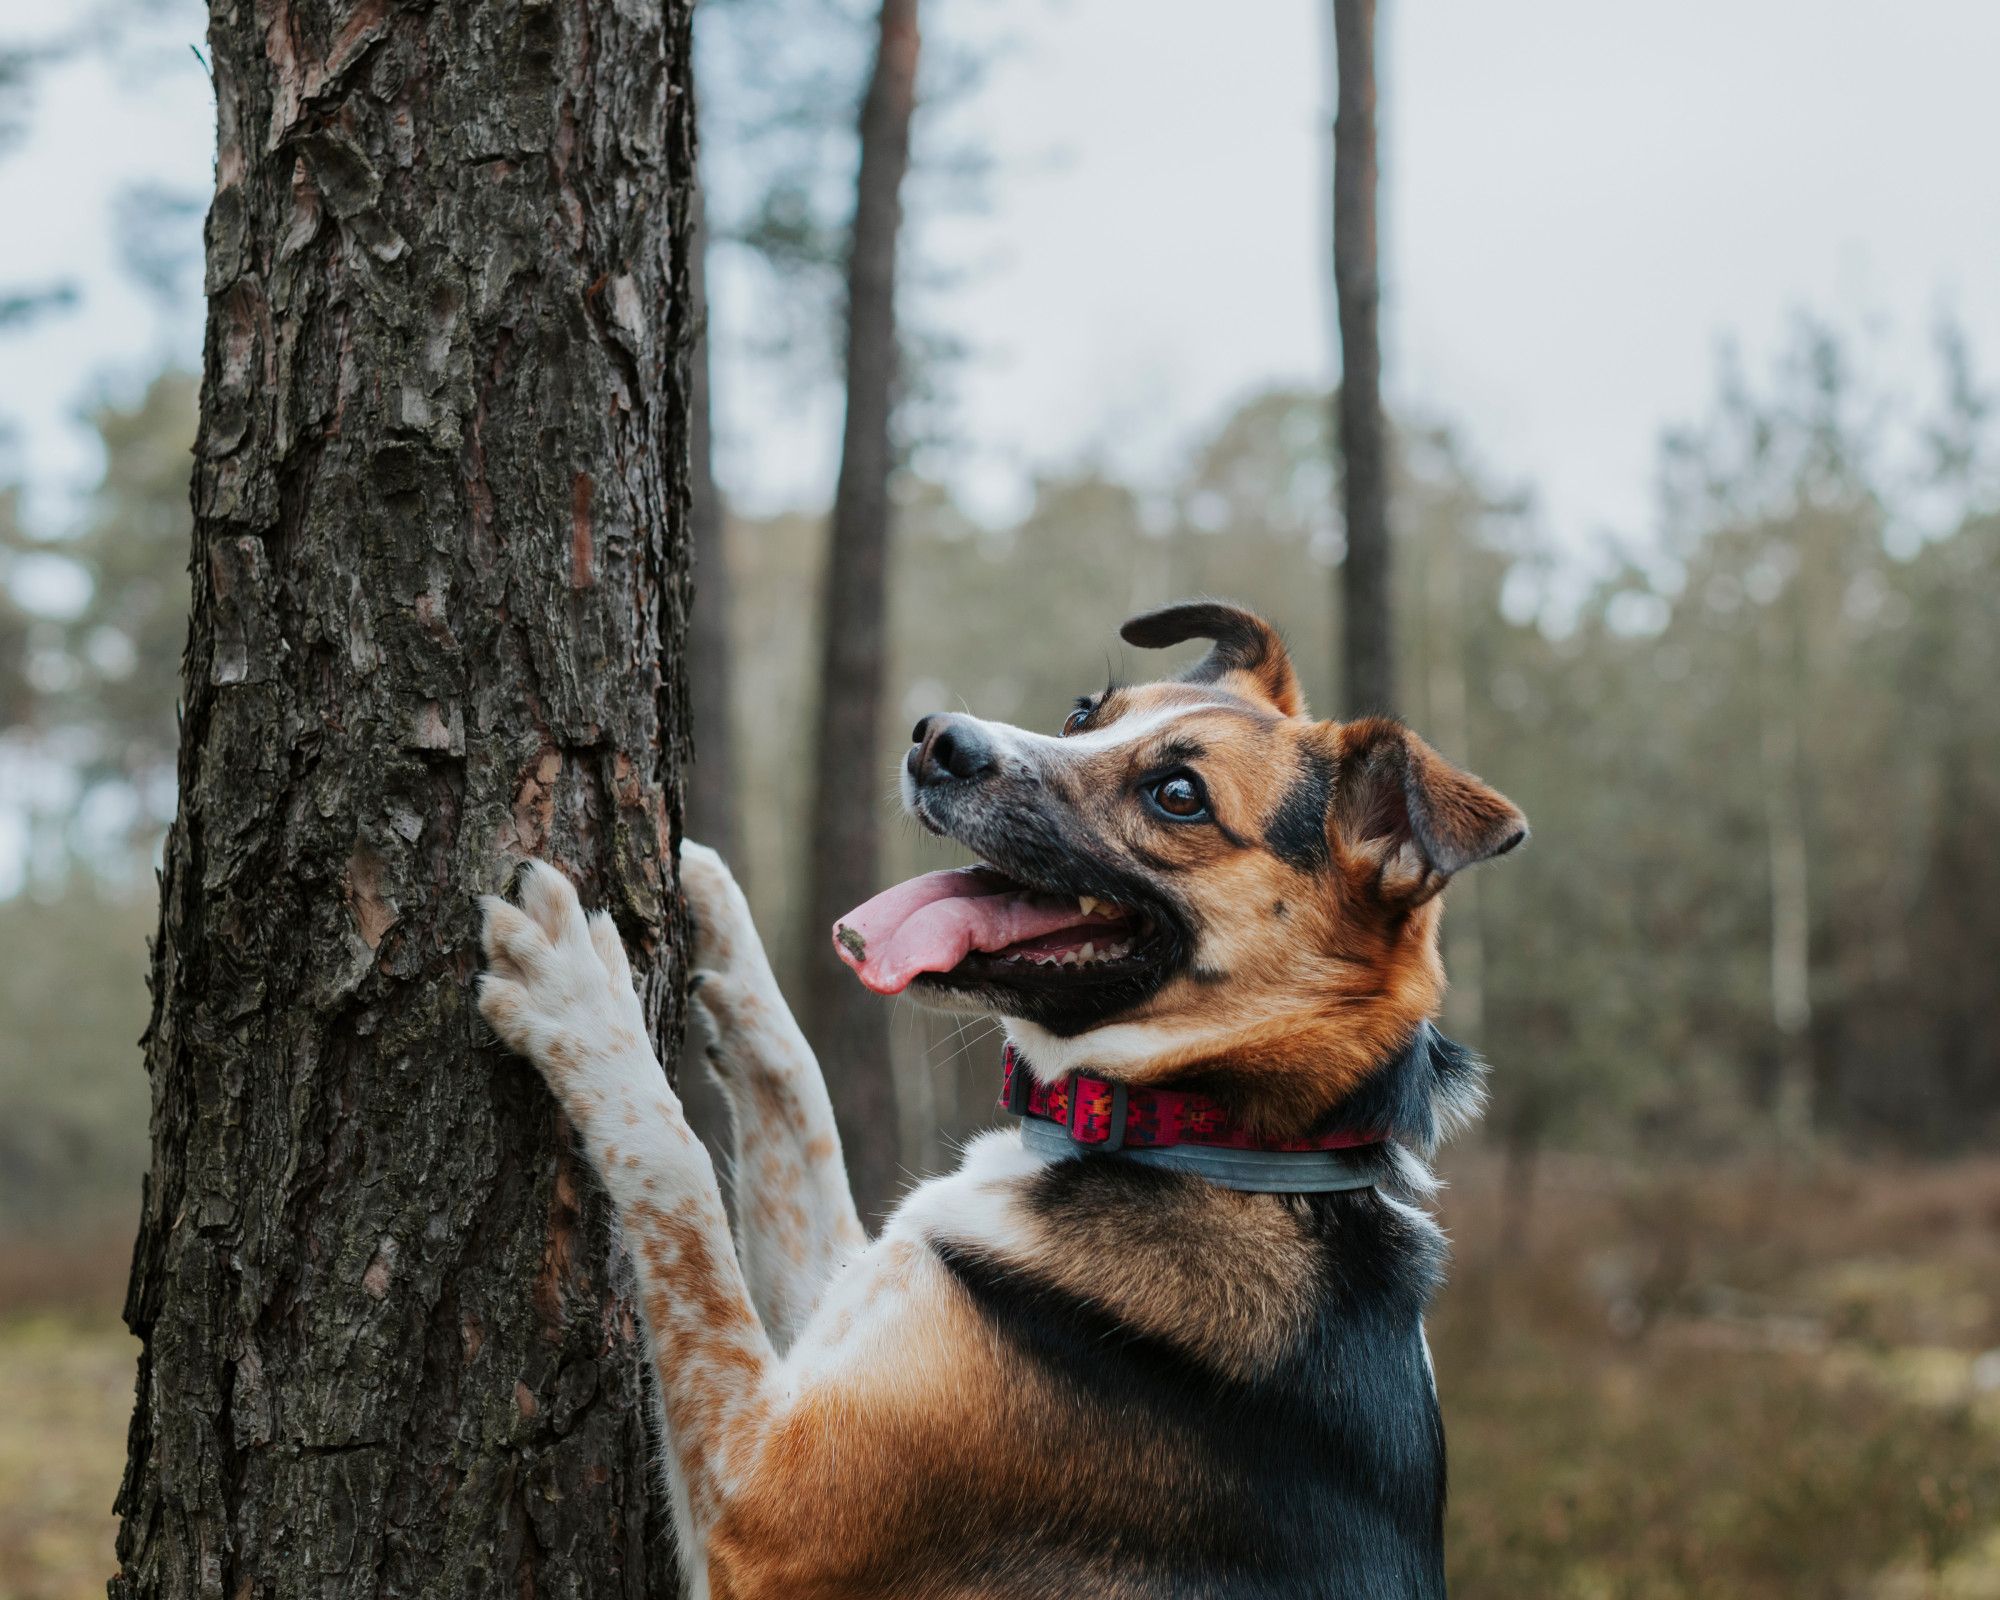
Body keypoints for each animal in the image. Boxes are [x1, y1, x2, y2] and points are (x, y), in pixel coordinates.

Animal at [480, 604, 1528, 1600]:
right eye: (1082, 715)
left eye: (1178, 795)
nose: (937, 739)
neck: (1213, 1136)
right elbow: (798, 1093)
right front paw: (711, 895)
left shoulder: (758, 1507)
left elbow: (675, 1173)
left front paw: (581, 1001)